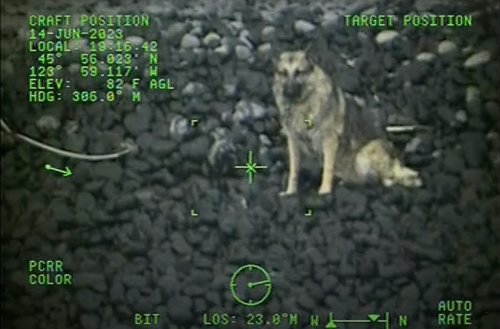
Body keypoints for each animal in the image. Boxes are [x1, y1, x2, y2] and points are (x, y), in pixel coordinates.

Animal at [274, 50, 422, 195]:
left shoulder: (329, 140)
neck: (303, 103)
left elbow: (328, 168)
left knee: (388, 178)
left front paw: (324, 191)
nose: (287, 92)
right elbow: (294, 170)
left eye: (298, 72)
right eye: (283, 73)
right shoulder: (293, 141)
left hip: (363, 156)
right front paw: (290, 191)